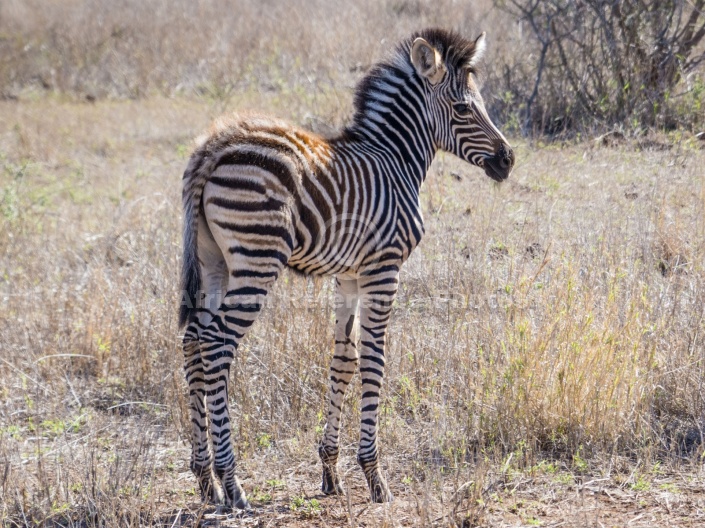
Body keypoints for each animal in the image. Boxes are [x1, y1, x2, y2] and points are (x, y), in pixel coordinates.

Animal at [179, 27, 516, 508]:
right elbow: (374, 359)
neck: (394, 161)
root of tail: (213, 145)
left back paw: (205, 479)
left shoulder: (349, 275)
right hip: (256, 261)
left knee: (192, 339)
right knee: (217, 344)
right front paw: (375, 476)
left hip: (213, 264)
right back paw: (232, 481)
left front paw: (330, 470)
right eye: (464, 108)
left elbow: (343, 359)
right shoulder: (383, 269)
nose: (508, 160)